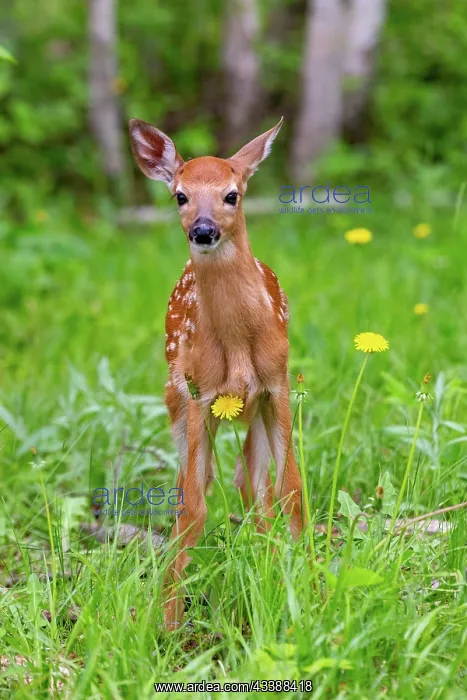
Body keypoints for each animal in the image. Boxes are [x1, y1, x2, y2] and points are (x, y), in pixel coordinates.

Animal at [128, 117, 304, 629]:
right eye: (180, 196)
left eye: (232, 194)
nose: (203, 231)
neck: (239, 343)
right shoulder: (199, 394)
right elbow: (192, 506)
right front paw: (167, 623)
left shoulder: (277, 386)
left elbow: (291, 492)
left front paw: (310, 588)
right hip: (176, 402)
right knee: (205, 483)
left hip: (255, 414)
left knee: (253, 486)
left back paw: (269, 569)